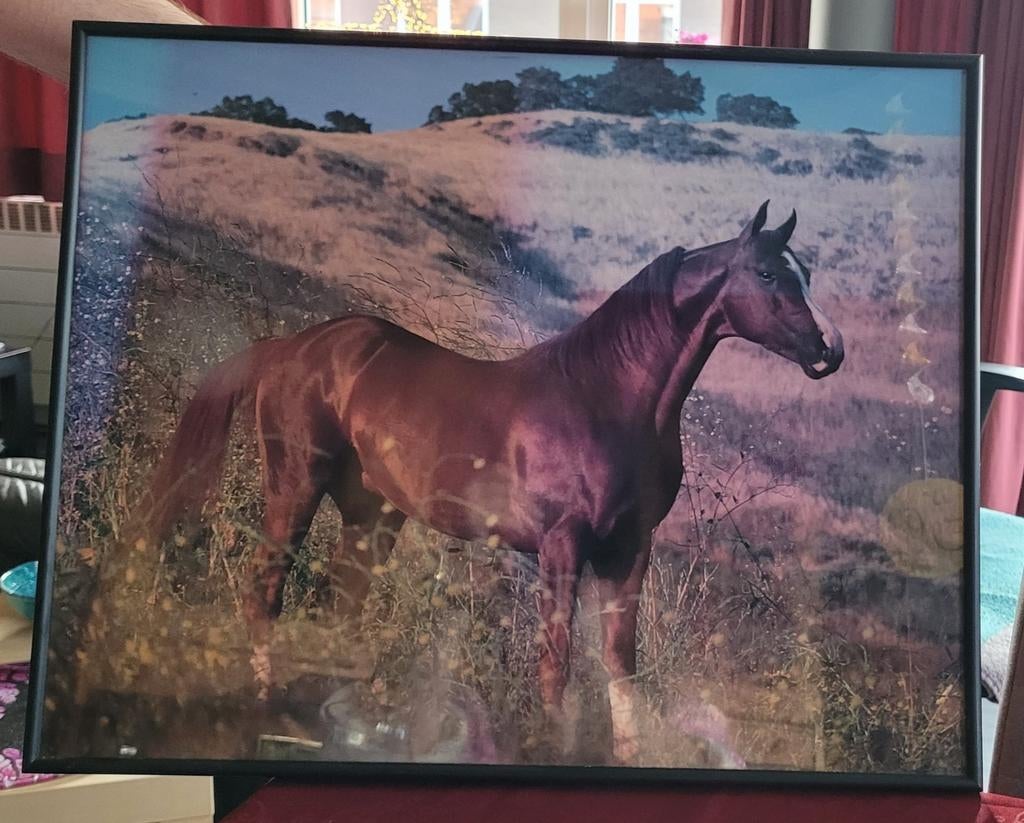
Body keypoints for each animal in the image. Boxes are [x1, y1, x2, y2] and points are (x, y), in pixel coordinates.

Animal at [143, 200, 844, 763]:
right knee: (264, 590)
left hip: (372, 514)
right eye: (768, 273)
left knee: (338, 607)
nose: (828, 349)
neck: (604, 397)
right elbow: (556, 668)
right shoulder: (562, 545)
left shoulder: (628, 550)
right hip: (295, 486)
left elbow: (621, 667)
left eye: (805, 273)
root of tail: (291, 348)